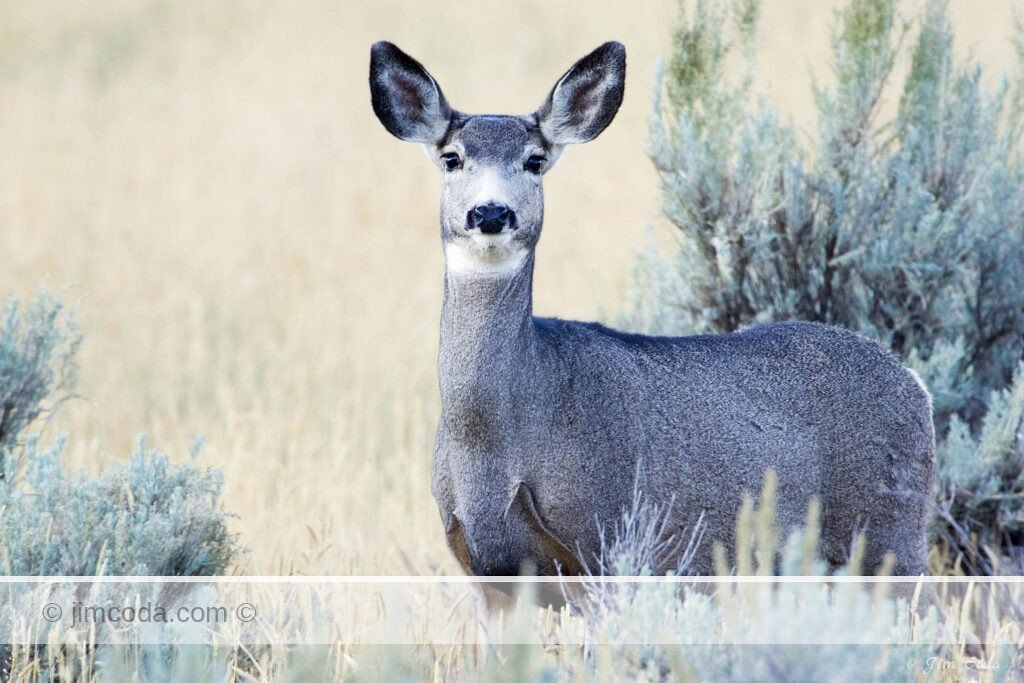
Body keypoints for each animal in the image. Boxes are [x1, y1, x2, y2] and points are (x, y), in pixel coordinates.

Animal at [368, 41, 936, 596]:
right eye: (451, 158)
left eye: (534, 160)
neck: (495, 442)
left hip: (889, 530)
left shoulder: (608, 539)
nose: (490, 212)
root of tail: (914, 381)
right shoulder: (484, 568)